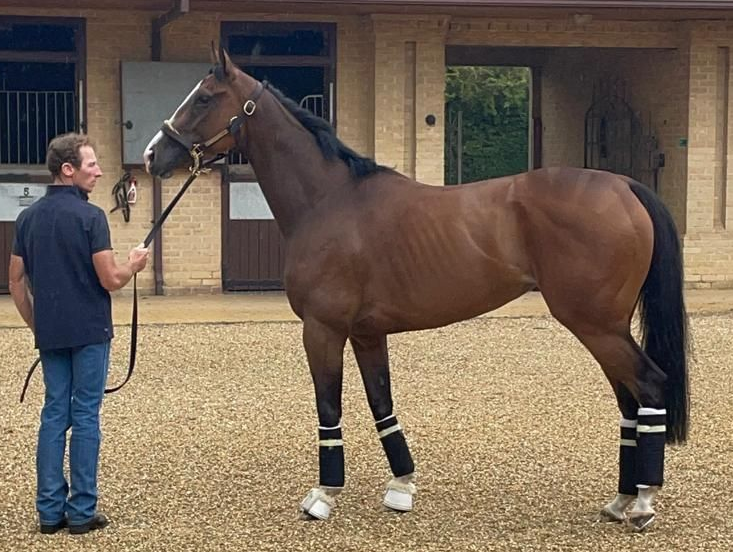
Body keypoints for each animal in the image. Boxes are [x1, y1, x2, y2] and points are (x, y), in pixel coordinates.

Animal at [143, 46, 688, 531]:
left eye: (204, 98)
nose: (153, 154)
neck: (329, 200)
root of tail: (624, 186)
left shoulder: (322, 330)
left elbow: (329, 406)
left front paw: (323, 495)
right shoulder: (366, 334)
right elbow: (381, 403)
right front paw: (402, 487)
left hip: (596, 325)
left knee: (649, 386)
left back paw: (642, 504)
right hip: (606, 327)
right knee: (629, 401)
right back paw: (621, 500)